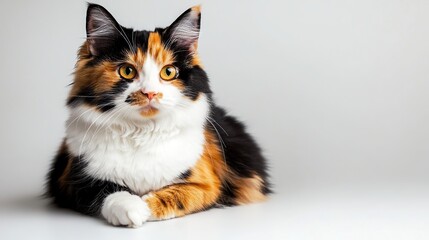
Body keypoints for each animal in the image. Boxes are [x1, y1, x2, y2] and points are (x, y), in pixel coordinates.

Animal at [46, 2, 268, 227]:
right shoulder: (72, 179)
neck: (141, 132)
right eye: (127, 71)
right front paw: (132, 208)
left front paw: (146, 206)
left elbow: (176, 194)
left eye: (168, 72)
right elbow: (107, 191)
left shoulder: (207, 184)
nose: (150, 93)